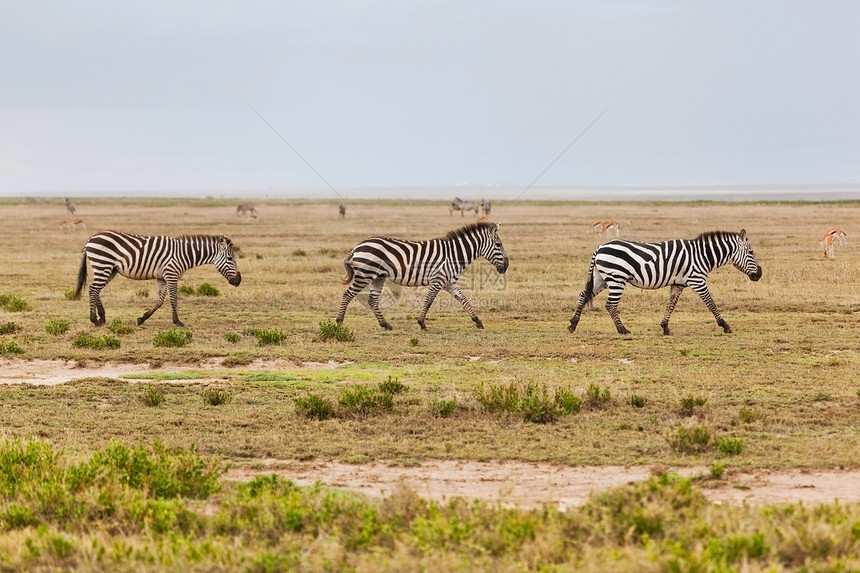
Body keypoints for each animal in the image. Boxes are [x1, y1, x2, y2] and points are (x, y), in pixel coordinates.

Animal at [71, 229, 242, 326]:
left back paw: (102, 317)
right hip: (103, 265)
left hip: (110, 269)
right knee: (93, 289)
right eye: (230, 259)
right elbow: (173, 299)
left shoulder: (163, 277)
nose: (239, 281)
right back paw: (94, 320)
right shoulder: (172, 275)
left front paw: (142, 318)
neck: (183, 254)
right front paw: (177, 322)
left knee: (95, 289)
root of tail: (91, 238)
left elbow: (160, 301)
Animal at [336, 220, 508, 328]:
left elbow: (464, 300)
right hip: (365, 274)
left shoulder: (449, 282)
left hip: (377, 277)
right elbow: (429, 301)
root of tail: (357, 246)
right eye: (498, 244)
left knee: (372, 300)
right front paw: (421, 323)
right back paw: (339, 321)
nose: (506, 266)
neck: (454, 254)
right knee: (348, 294)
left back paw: (385, 325)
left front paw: (477, 321)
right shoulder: (438, 280)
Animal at [572, 229, 760, 336]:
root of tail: (600, 247)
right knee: (610, 304)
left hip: (601, 278)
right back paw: (622, 330)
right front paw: (725, 326)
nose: (760, 274)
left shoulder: (678, 283)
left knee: (583, 295)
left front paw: (665, 328)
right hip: (616, 277)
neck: (702, 255)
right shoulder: (697, 280)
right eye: (751, 252)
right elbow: (711, 303)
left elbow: (671, 305)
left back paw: (573, 324)